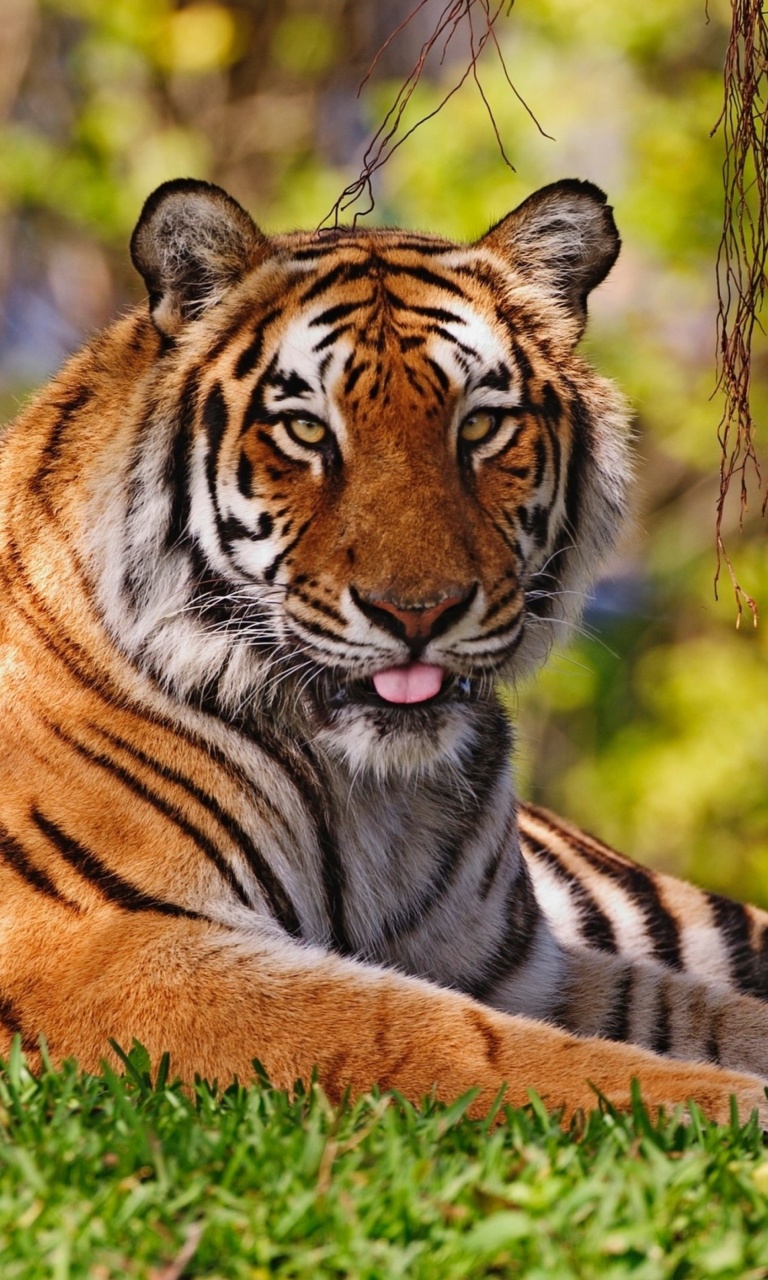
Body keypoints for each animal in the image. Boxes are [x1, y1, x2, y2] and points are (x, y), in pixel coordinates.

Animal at [1, 175, 768, 1126]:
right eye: (305, 430)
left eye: (480, 426)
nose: (419, 611)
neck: (371, 795)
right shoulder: (103, 947)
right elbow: (435, 1037)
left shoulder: (515, 963)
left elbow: (700, 1011)